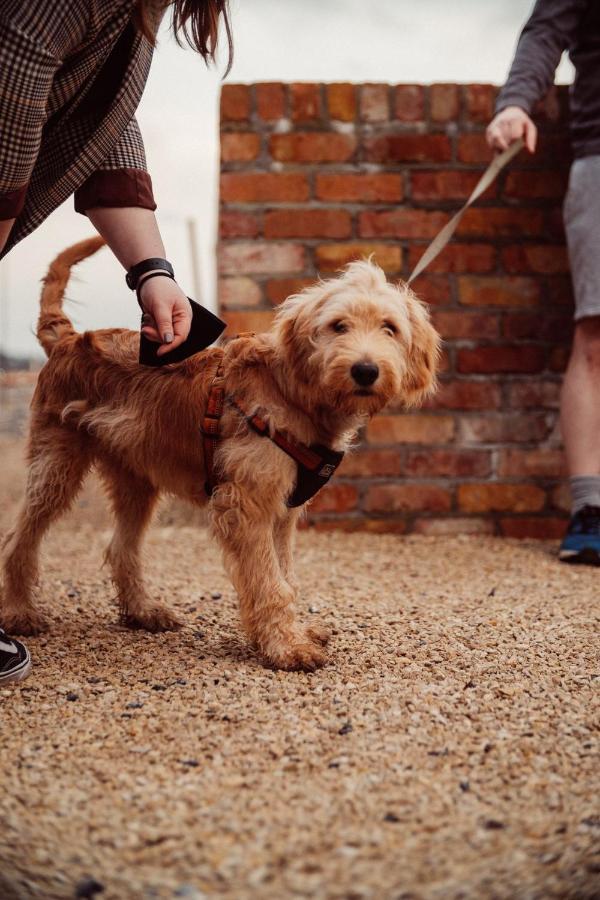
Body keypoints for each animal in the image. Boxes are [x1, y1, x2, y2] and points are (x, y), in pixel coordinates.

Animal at [0, 237, 440, 668]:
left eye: (389, 328)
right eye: (338, 326)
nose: (365, 370)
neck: (293, 393)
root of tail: (69, 340)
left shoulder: (282, 513)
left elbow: (285, 576)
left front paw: (292, 633)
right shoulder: (246, 504)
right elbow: (270, 581)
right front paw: (285, 646)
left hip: (135, 482)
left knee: (120, 548)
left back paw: (143, 610)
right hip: (55, 466)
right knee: (19, 538)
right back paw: (20, 612)